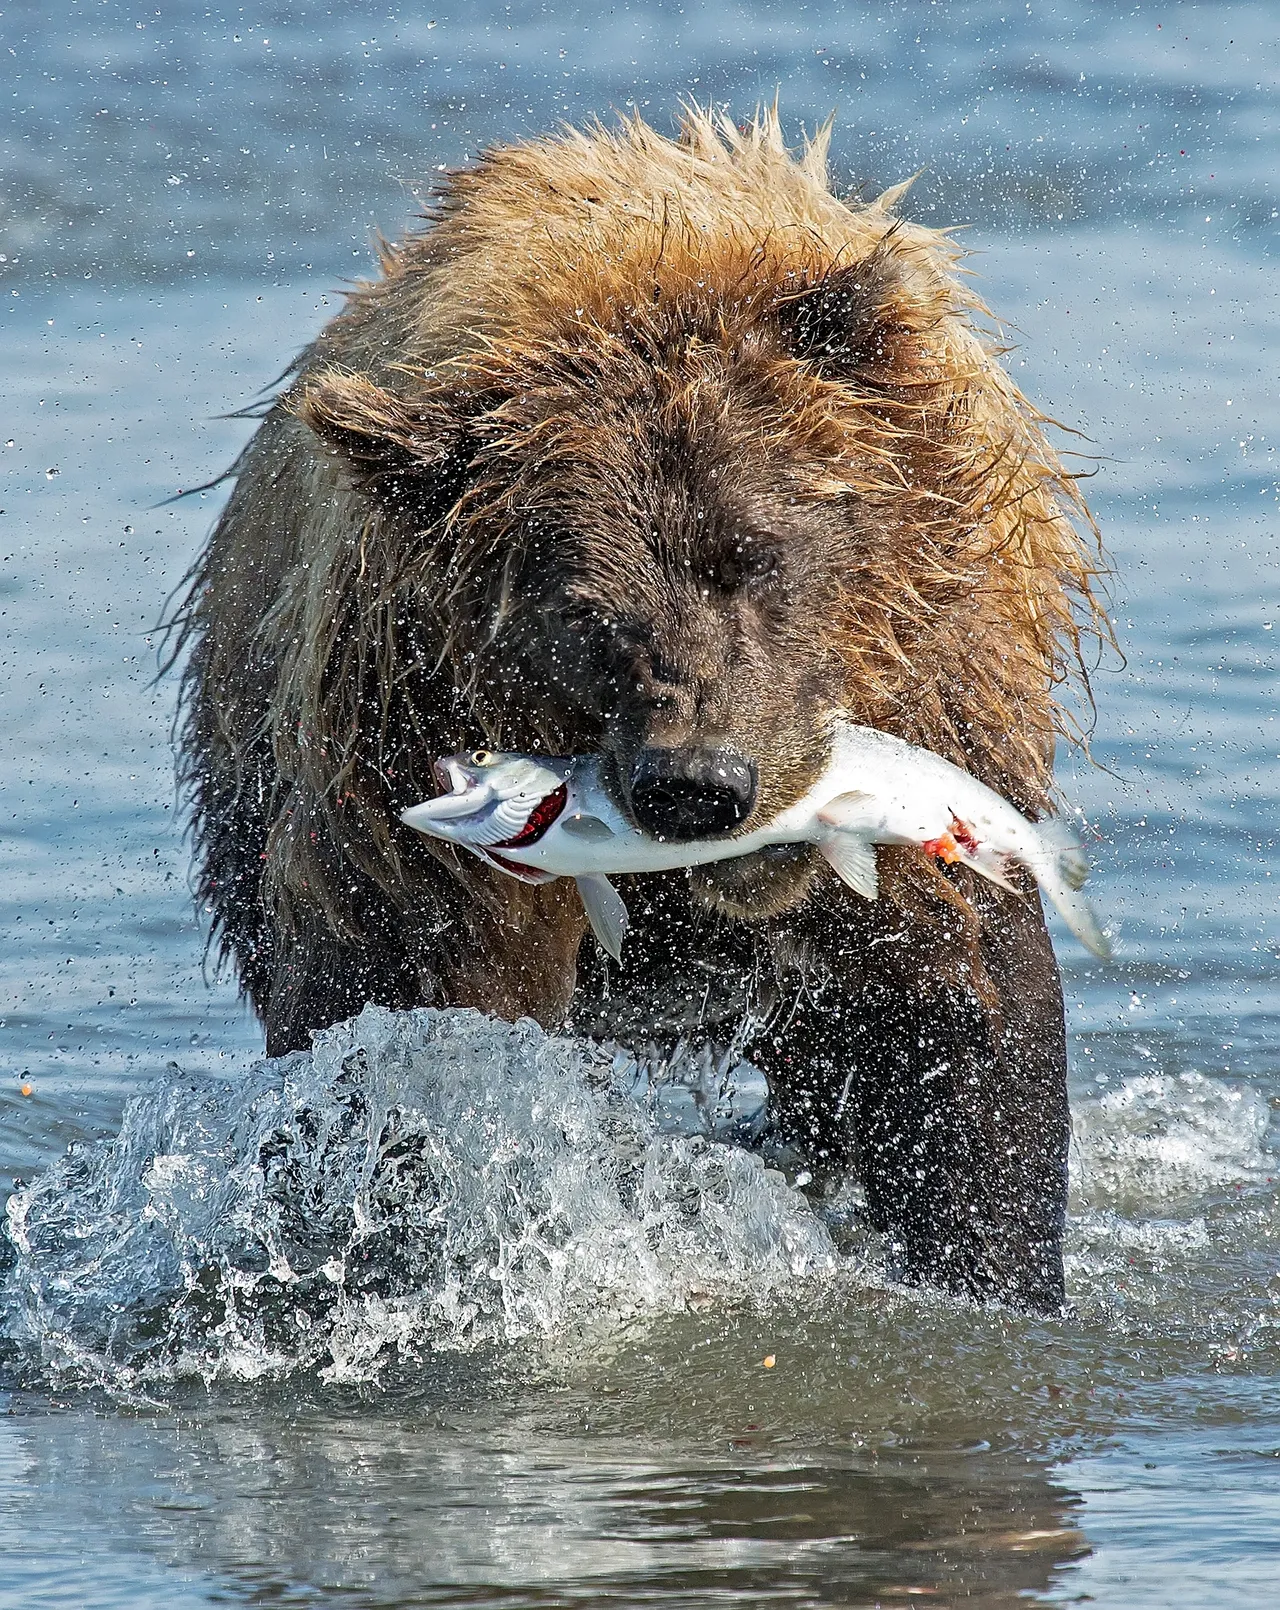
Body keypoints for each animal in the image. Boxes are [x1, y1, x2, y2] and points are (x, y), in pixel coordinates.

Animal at [174, 107, 1105, 1312]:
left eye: (754, 556)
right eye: (583, 612)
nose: (700, 782)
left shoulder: (942, 737)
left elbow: (960, 1036)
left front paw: (990, 1265)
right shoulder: (397, 784)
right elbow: (411, 1035)